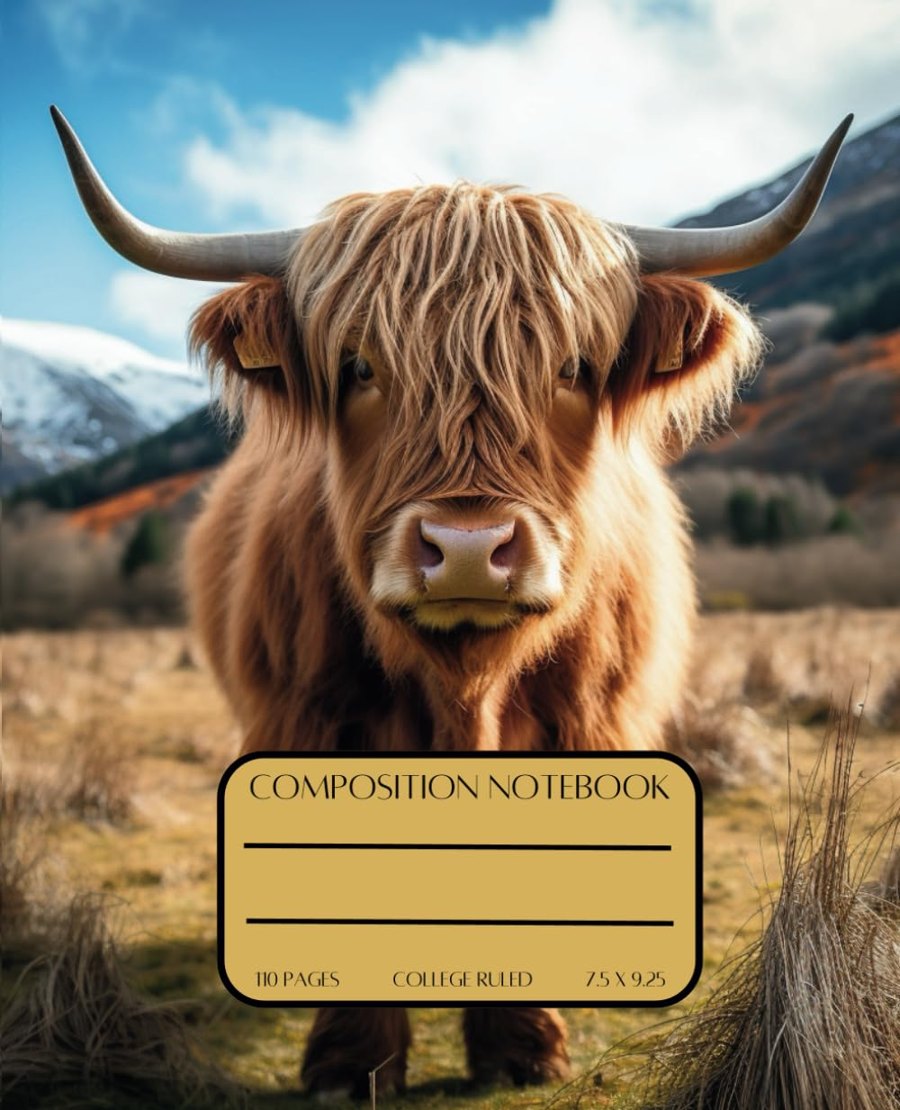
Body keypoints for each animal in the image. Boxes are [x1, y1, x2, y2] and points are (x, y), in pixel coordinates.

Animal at [52, 105, 850, 1097]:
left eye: (574, 366)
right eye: (358, 366)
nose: (468, 550)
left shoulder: (584, 726)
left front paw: (522, 1049)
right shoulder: (314, 723)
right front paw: (351, 1062)